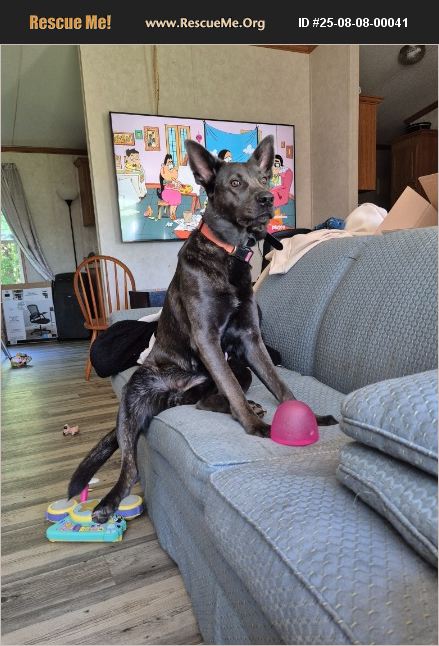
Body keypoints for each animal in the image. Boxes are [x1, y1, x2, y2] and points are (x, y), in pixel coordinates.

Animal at [68, 135, 335, 523]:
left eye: (264, 178)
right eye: (235, 183)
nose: (267, 199)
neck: (228, 253)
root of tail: (174, 393)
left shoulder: (250, 341)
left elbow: (280, 385)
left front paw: (307, 415)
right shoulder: (207, 338)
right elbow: (234, 389)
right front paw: (255, 428)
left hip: (237, 367)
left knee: (207, 401)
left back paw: (243, 405)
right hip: (134, 397)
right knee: (131, 464)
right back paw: (109, 502)